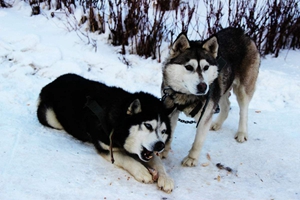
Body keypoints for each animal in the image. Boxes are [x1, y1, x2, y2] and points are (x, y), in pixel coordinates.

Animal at [37, 73, 173, 192]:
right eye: (148, 125)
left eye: (163, 131)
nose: (160, 145)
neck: (117, 124)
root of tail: (54, 81)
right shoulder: (106, 148)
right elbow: (126, 158)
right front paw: (142, 170)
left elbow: (157, 161)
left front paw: (166, 178)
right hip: (49, 117)